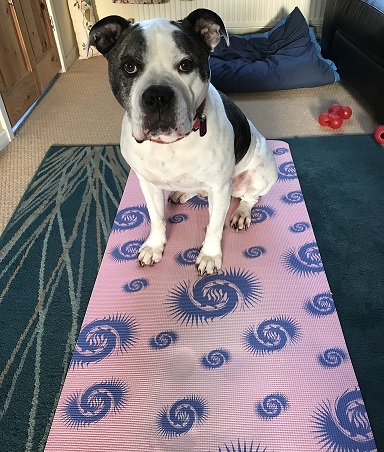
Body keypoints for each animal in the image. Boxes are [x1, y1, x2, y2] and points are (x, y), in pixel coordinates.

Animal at [88, 7, 278, 276]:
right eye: (129, 67)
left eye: (186, 65)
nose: (157, 95)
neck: (170, 143)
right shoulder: (147, 184)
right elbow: (156, 218)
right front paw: (154, 246)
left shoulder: (219, 188)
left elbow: (214, 226)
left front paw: (209, 255)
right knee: (196, 190)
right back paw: (181, 194)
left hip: (261, 174)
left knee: (249, 198)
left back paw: (241, 213)